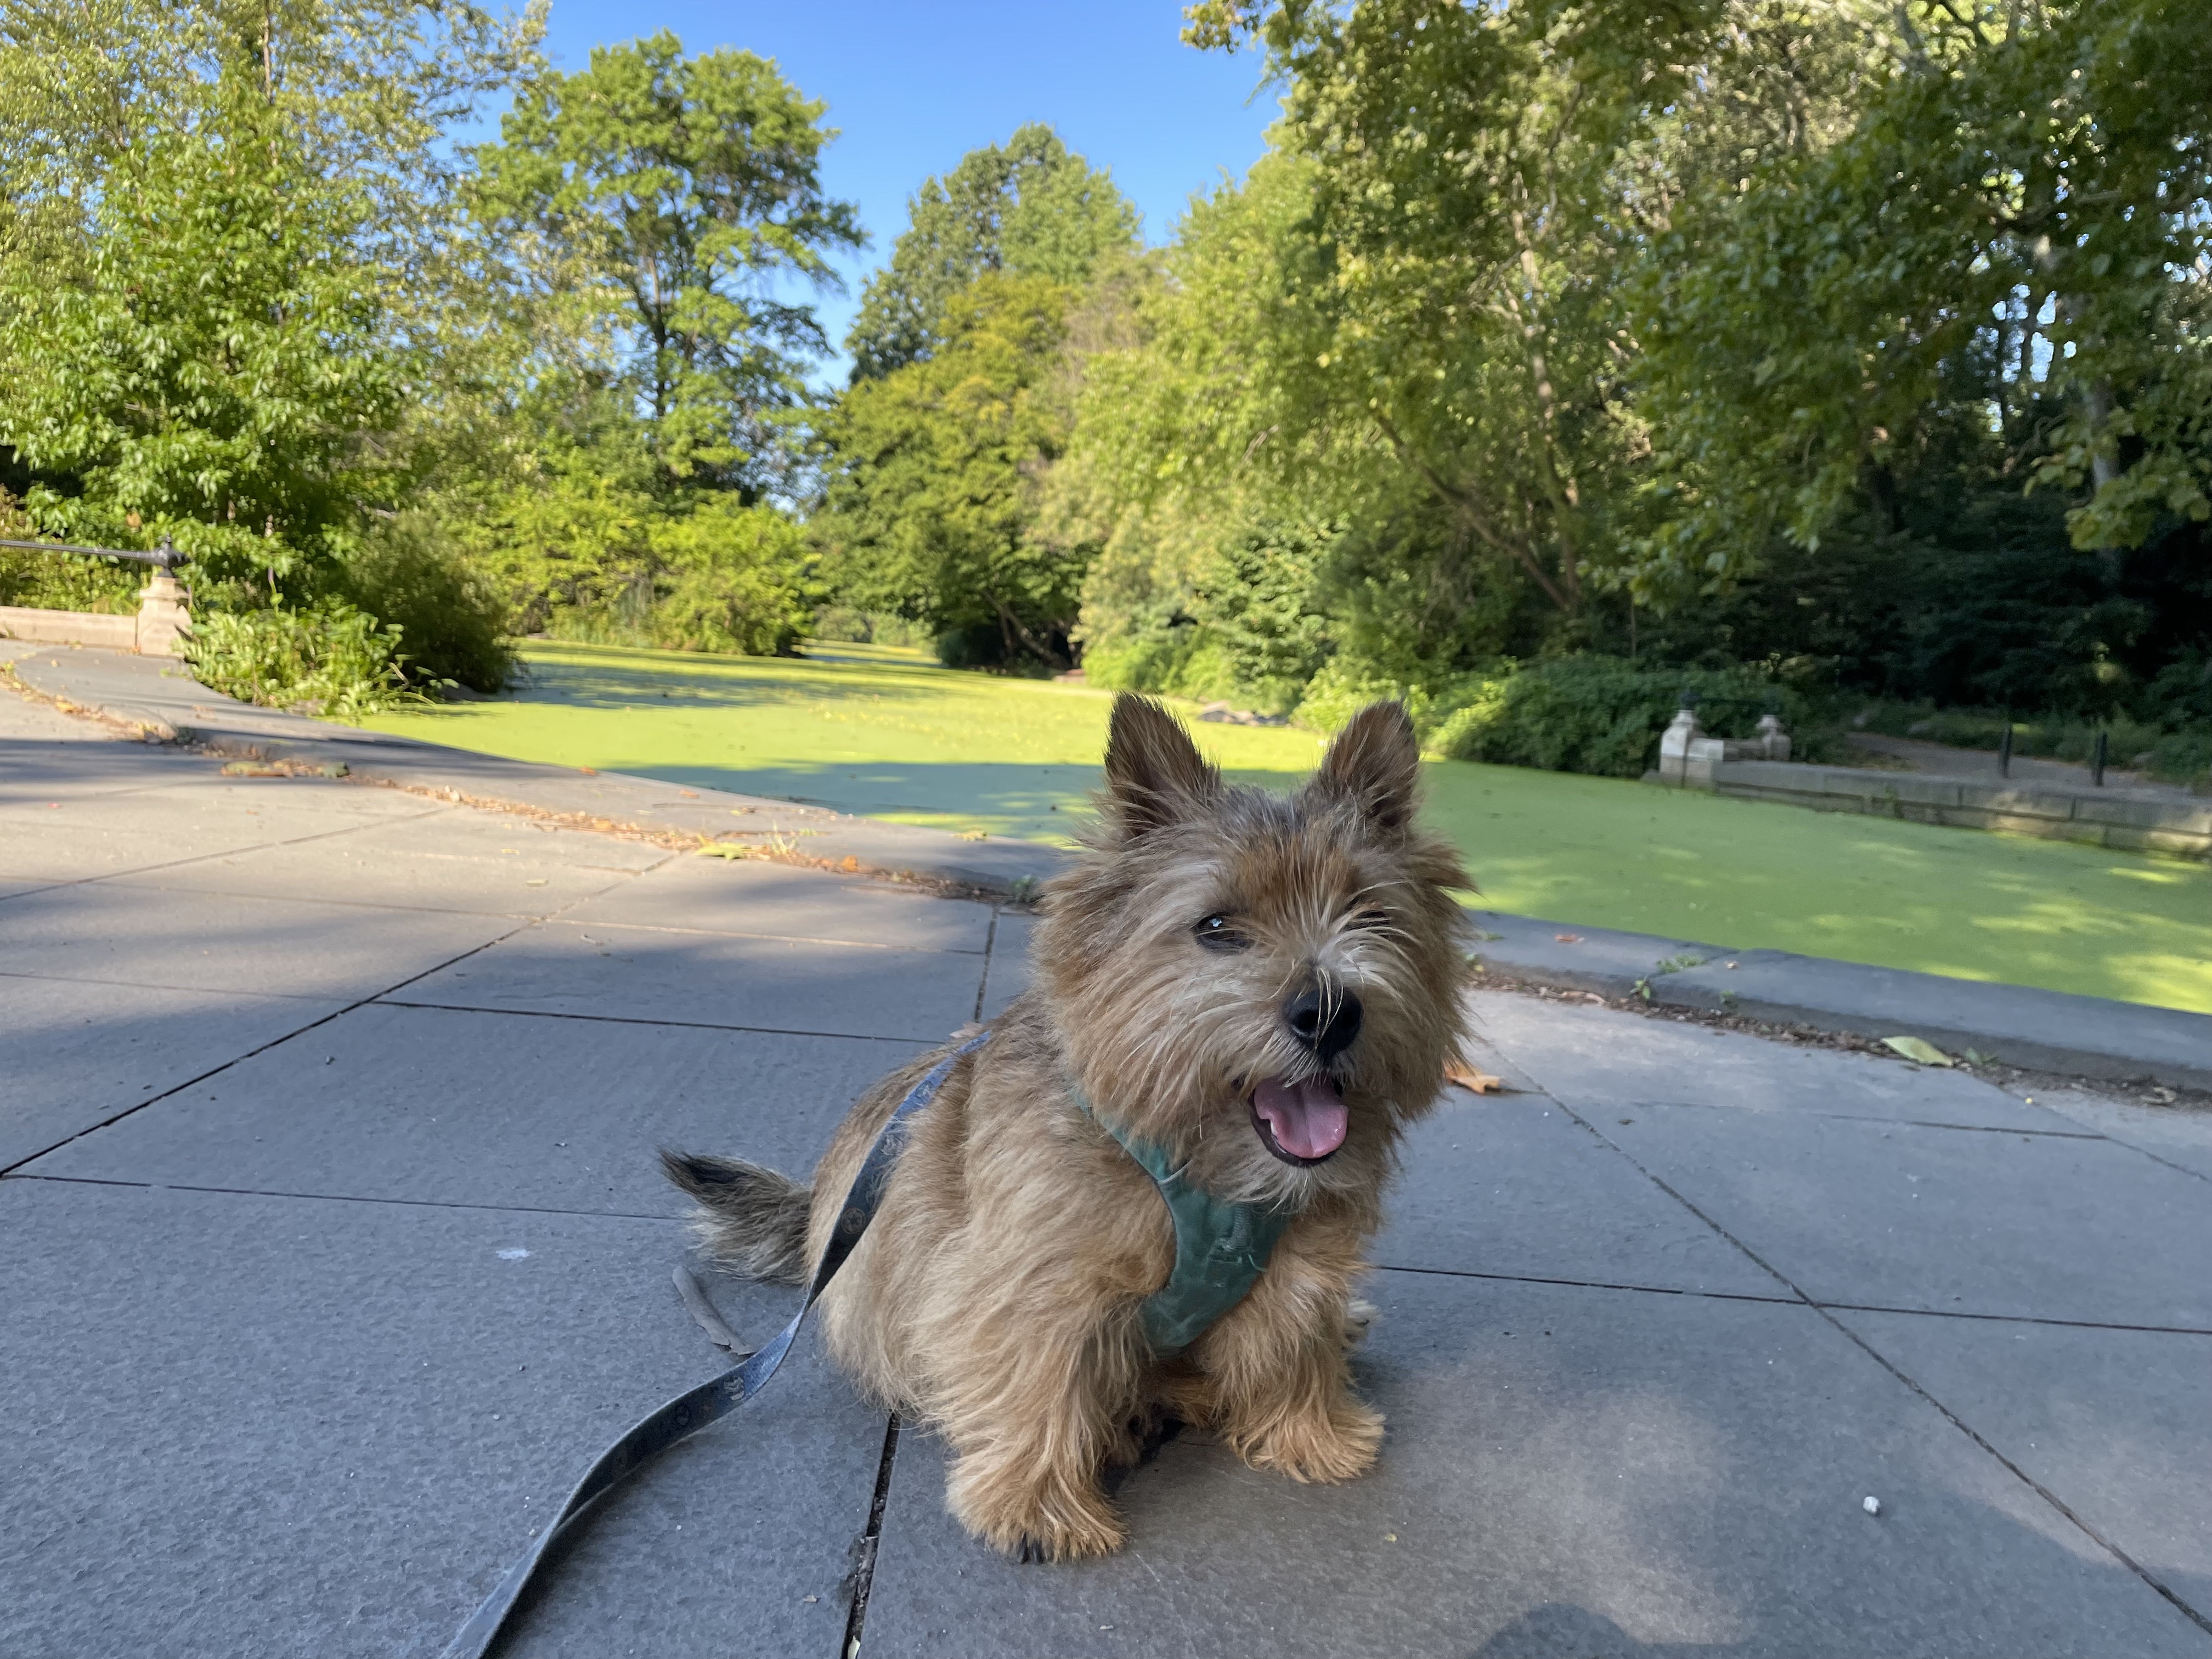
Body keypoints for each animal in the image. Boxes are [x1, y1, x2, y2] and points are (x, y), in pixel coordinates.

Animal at [663, 693, 1469, 1560]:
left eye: (1371, 914)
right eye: (1217, 927)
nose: (1329, 1012)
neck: (1204, 1173)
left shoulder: (1302, 1263)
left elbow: (1299, 1338)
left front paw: (1312, 1432)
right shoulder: (1033, 1281)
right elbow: (1038, 1372)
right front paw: (1038, 1504)